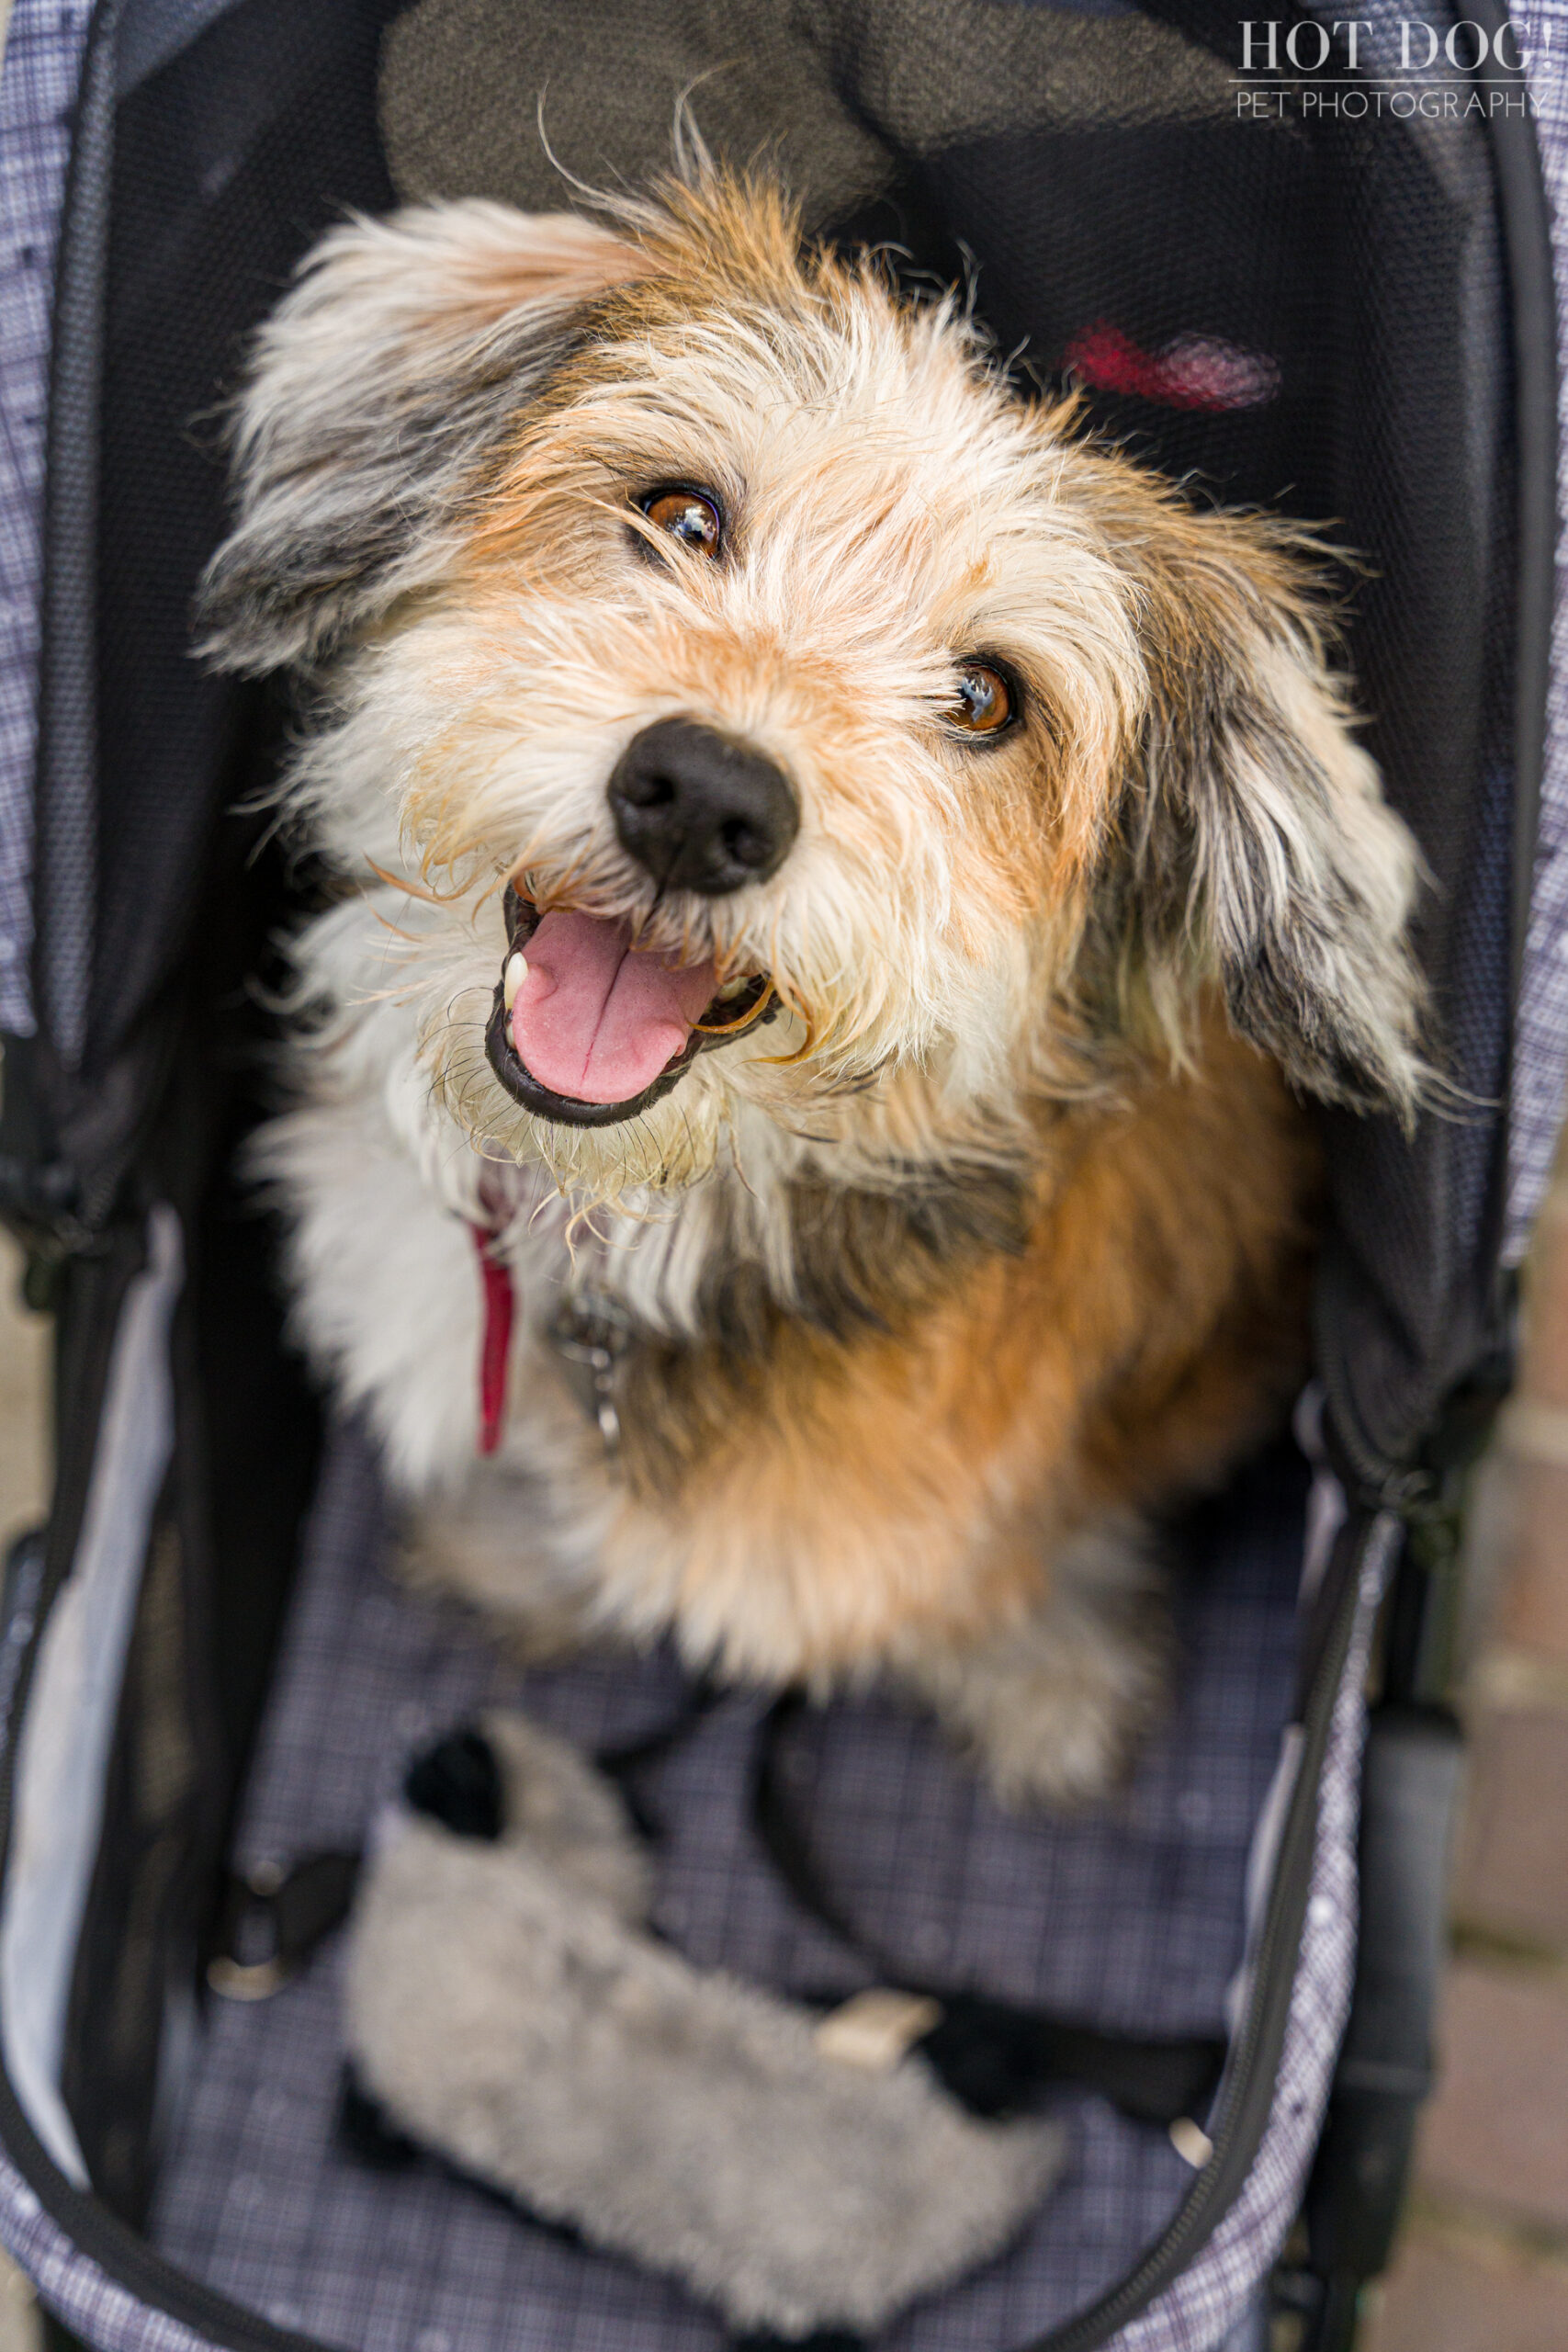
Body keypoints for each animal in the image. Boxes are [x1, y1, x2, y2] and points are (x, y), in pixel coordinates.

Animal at [205, 156, 1438, 1796]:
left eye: (983, 698)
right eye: (679, 514)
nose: (702, 799)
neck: (624, 1228)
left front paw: (1041, 1678)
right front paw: (523, 1558)